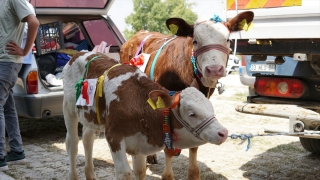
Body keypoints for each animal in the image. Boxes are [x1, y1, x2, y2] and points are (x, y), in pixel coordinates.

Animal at [62, 51, 228, 179]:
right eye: (192, 113)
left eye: (211, 108)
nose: (223, 133)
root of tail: (79, 53)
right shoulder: (114, 136)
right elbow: (125, 173)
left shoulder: (139, 143)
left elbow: (140, 171)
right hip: (68, 109)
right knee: (72, 144)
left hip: (90, 117)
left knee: (87, 139)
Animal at [119, 10, 254, 179]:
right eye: (195, 41)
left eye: (228, 40)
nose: (214, 69)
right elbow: (167, 145)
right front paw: (168, 175)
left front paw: (193, 174)